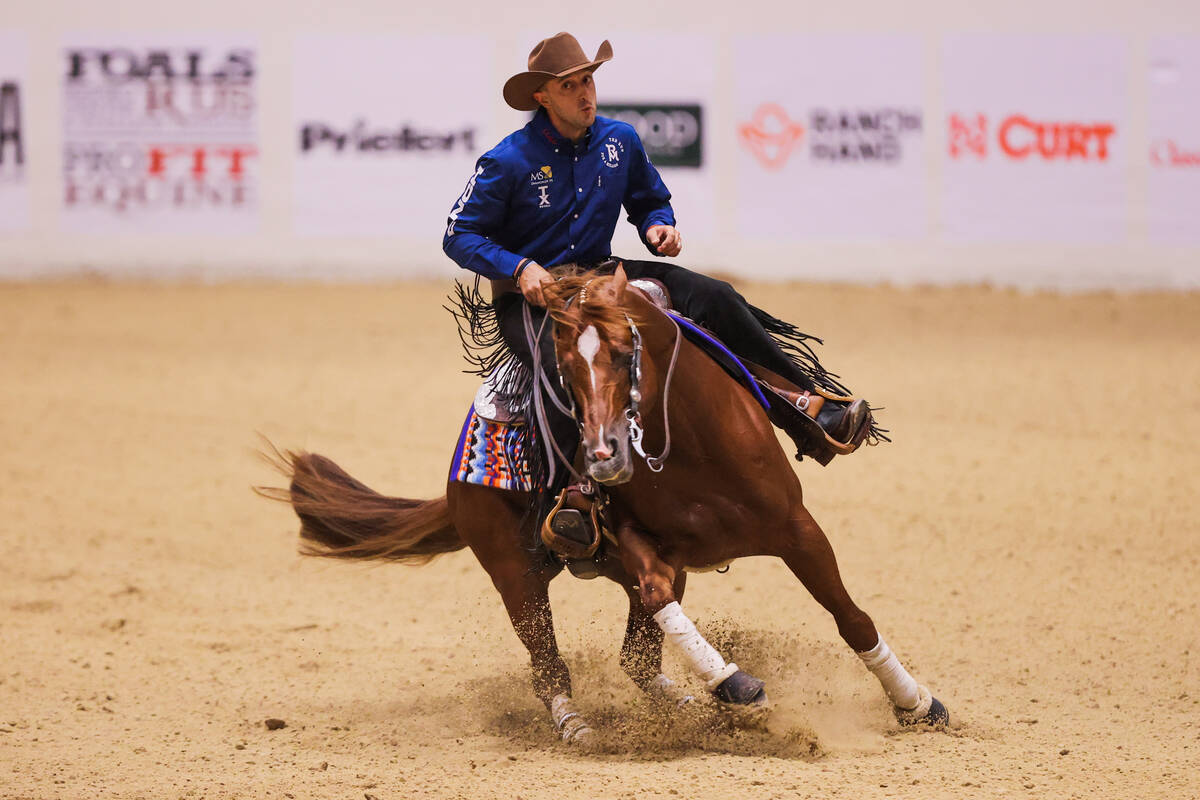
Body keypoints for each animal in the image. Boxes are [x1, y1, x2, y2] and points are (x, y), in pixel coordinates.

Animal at [262, 267, 945, 743]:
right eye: (563, 366)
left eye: (626, 352)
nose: (603, 456)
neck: (693, 442)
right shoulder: (640, 544)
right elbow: (659, 596)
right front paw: (737, 682)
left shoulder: (797, 528)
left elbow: (851, 618)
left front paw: (915, 702)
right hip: (514, 573)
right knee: (550, 666)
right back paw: (580, 724)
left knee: (637, 664)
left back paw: (691, 708)